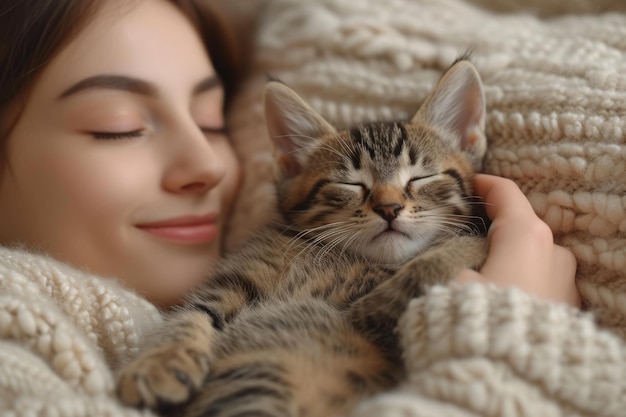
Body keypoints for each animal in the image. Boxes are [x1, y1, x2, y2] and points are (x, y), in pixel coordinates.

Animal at [117, 58, 488, 416]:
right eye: (351, 184)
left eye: (420, 178)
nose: (389, 208)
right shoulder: (241, 271)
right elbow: (193, 311)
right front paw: (157, 362)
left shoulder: (473, 239)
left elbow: (461, 248)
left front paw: (383, 299)